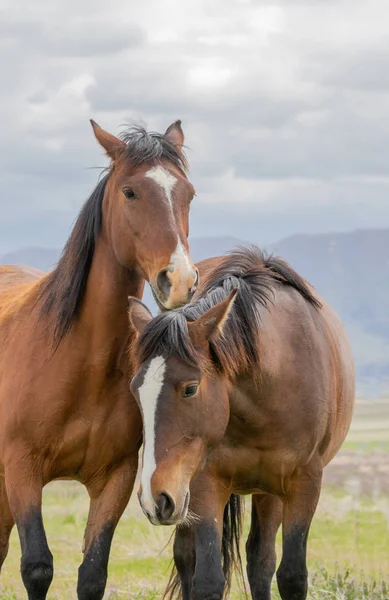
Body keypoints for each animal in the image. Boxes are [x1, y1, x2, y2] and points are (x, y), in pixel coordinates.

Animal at [0, 118, 199, 600]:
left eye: (188, 193)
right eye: (130, 191)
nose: (180, 281)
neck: (80, 362)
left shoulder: (116, 478)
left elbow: (92, 574)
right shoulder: (21, 471)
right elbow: (37, 568)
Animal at [129, 246, 354, 596]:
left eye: (190, 388)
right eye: (135, 390)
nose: (155, 498)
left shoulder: (304, 484)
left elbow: (291, 576)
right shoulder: (204, 483)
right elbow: (207, 578)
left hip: (267, 492)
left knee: (260, 560)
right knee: (188, 557)